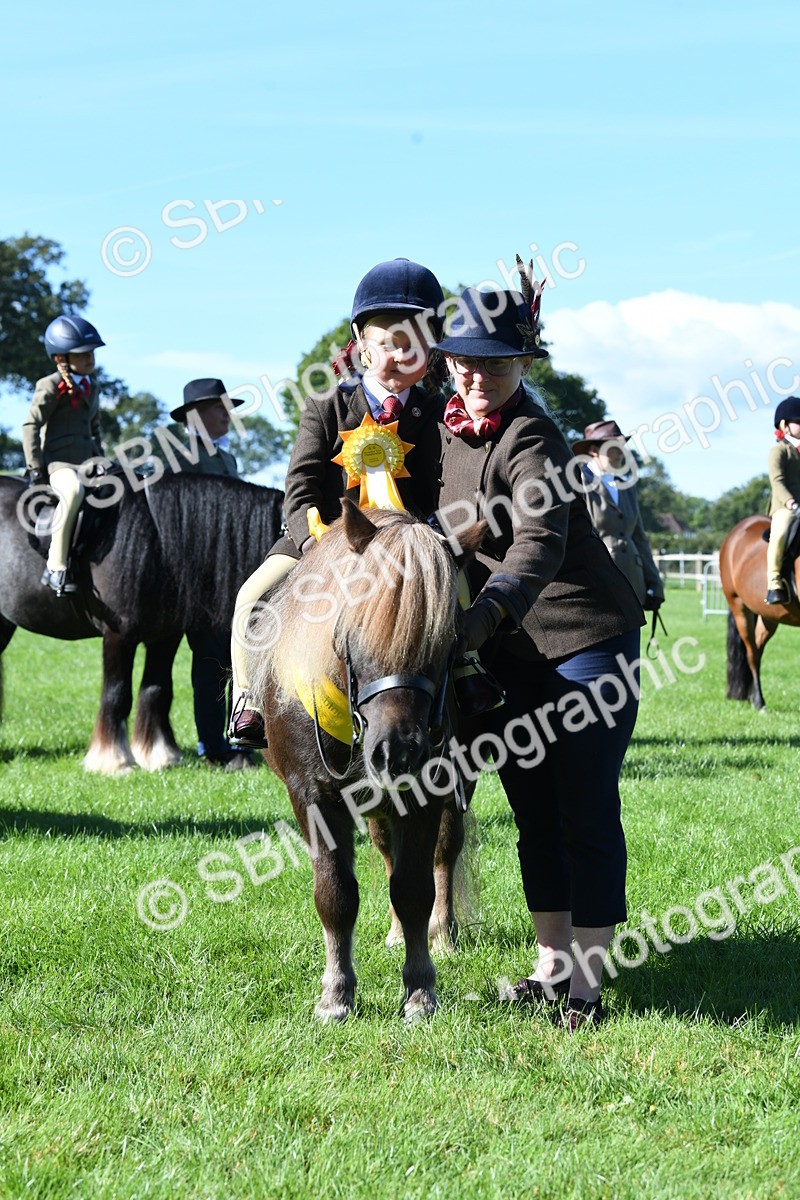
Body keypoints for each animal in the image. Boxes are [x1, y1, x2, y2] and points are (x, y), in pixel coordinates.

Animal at [0, 472, 284, 772]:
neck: (157, 541)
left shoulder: (165, 637)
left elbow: (156, 691)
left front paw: (158, 755)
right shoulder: (118, 635)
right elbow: (117, 693)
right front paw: (112, 761)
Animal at [247, 499, 485, 1022]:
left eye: (450, 641)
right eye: (355, 628)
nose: (398, 751)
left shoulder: (427, 792)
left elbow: (414, 889)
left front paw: (420, 990)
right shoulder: (312, 796)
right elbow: (336, 895)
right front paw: (336, 995)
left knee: (444, 853)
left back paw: (445, 935)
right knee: (385, 849)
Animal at [719, 513, 800, 708]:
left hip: (769, 616)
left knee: (758, 648)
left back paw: (752, 696)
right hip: (740, 609)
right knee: (752, 654)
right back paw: (758, 701)